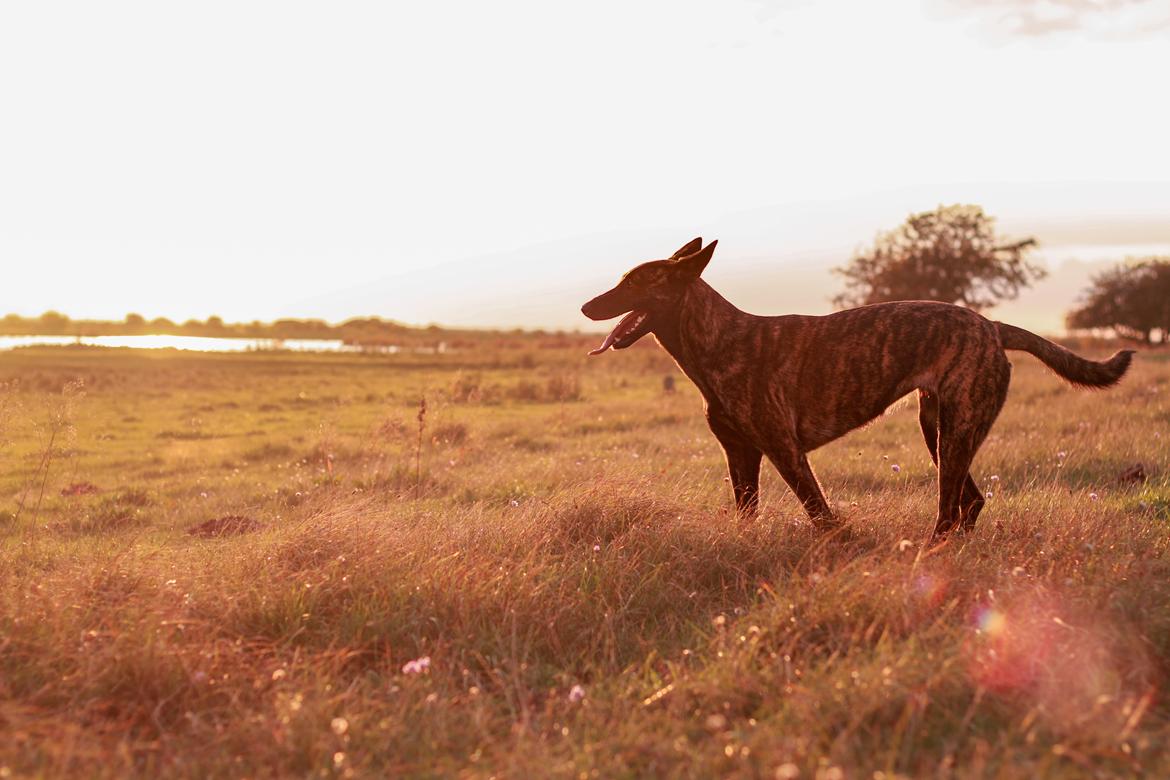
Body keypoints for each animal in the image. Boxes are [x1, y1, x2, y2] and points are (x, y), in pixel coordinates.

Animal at [582, 238, 1132, 540]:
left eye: (635, 283)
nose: (587, 307)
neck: (719, 340)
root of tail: (992, 327)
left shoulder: (785, 452)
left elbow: (823, 516)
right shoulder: (741, 455)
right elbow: (747, 515)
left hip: (954, 432)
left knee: (949, 508)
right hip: (938, 430)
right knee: (969, 504)